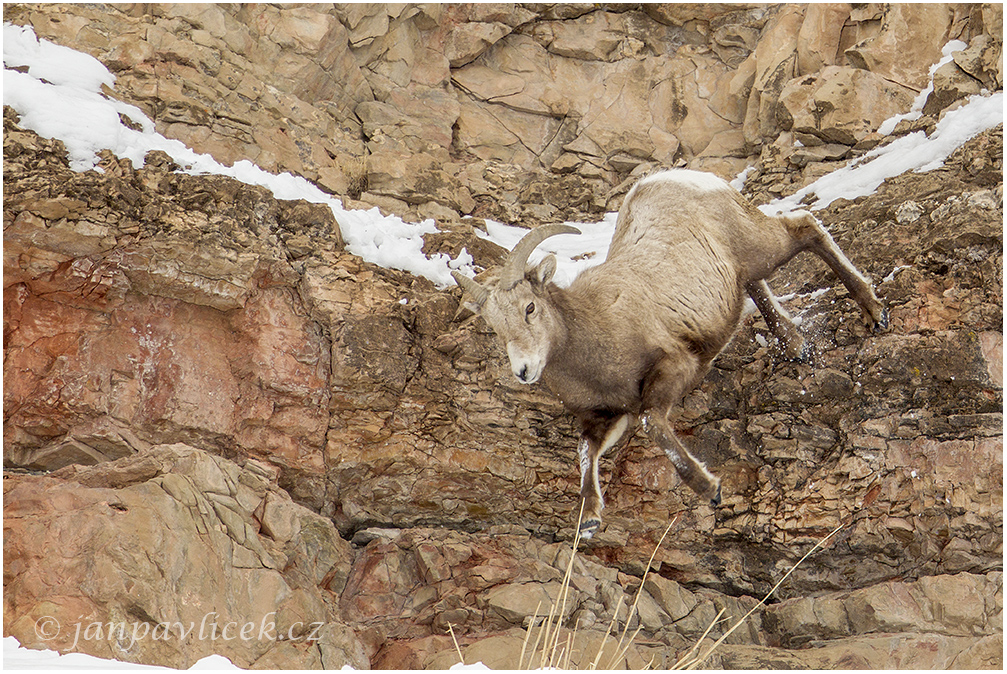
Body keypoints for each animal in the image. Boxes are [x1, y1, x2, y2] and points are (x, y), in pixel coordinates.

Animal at [453, 171, 886, 540]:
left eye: (530, 307)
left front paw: (709, 489)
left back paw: (874, 311)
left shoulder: (673, 369)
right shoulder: (606, 417)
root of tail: (680, 177)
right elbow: (586, 452)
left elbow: (653, 423)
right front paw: (590, 520)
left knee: (805, 226)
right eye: (494, 326)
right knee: (756, 283)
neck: (597, 338)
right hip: (743, 270)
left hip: (762, 246)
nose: (524, 370)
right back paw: (796, 345)